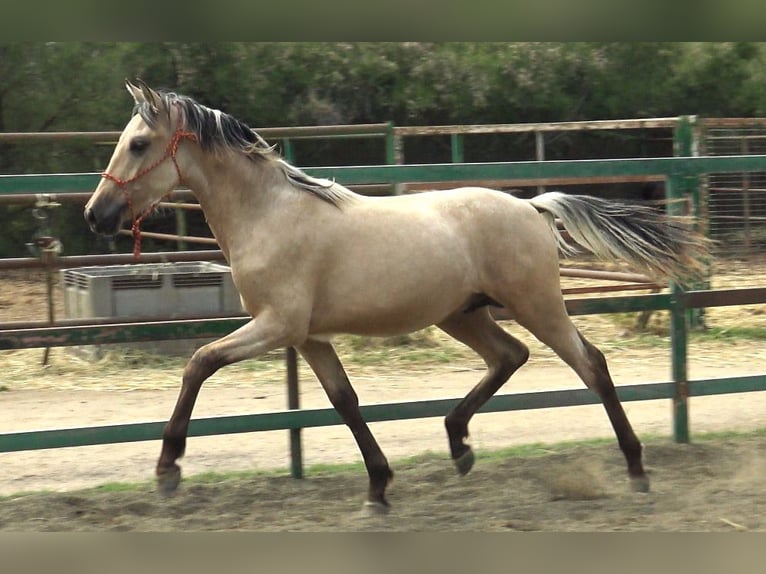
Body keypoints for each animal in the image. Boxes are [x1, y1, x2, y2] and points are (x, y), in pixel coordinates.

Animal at [82, 80, 708, 512]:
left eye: (138, 144)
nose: (95, 215)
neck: (270, 214)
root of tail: (531, 206)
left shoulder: (277, 325)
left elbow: (198, 363)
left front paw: (168, 469)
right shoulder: (308, 336)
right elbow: (345, 401)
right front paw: (379, 488)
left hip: (537, 305)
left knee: (590, 363)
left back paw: (636, 470)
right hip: (462, 315)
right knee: (510, 356)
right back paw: (459, 445)